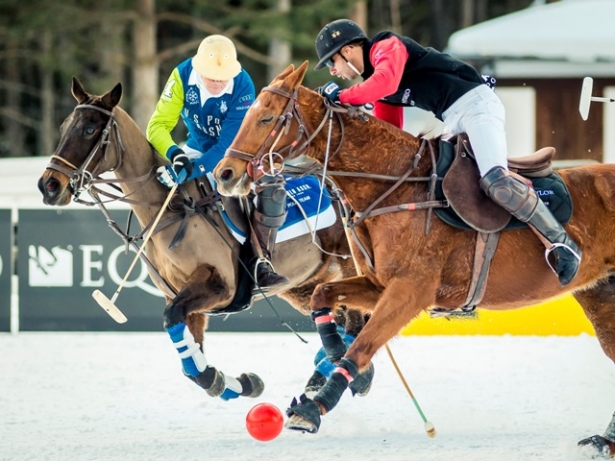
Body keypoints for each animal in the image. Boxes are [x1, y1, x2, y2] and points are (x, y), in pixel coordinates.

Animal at [38, 79, 372, 402]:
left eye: (89, 129)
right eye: (63, 127)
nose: (49, 186)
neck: (170, 209)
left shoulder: (220, 285)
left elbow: (173, 322)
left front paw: (225, 380)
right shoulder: (183, 299)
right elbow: (191, 364)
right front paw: (241, 383)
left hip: (347, 266)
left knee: (356, 320)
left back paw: (347, 374)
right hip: (305, 284)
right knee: (339, 317)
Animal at [214, 62, 615, 456]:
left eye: (266, 117)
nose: (224, 174)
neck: (393, 186)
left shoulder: (412, 289)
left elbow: (362, 344)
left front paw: (314, 407)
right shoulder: (379, 284)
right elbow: (322, 296)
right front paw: (349, 373)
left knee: (500, 183)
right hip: (600, 295)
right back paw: (603, 441)